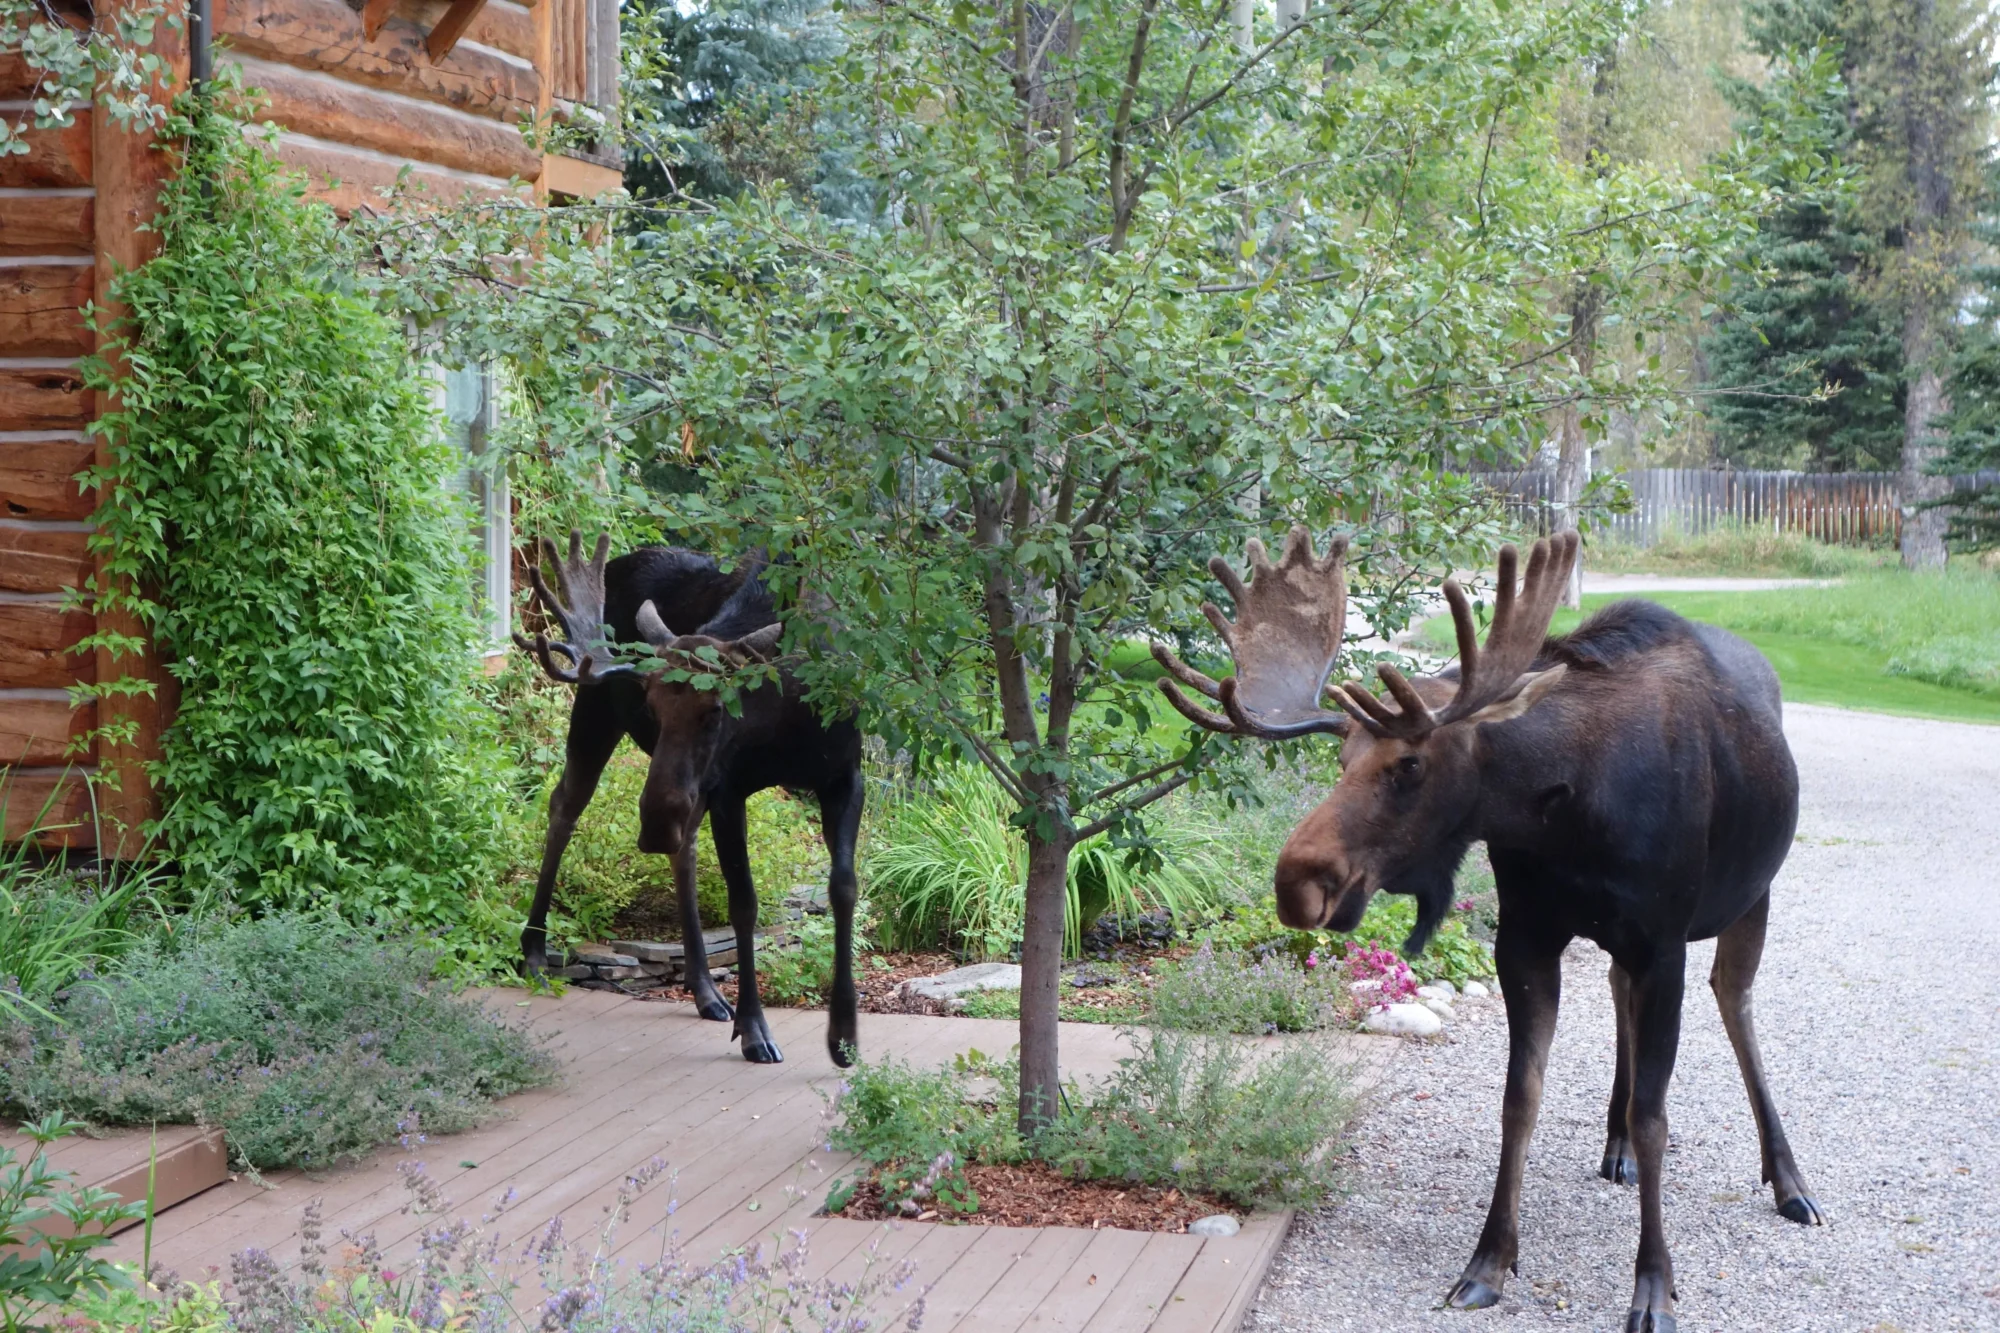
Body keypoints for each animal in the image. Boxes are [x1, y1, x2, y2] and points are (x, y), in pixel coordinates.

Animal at [514, 531, 864, 1067]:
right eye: (651, 706)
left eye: (716, 709)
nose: (656, 826)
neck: (784, 712)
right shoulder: (729, 788)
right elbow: (744, 904)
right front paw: (755, 1029)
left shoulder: (845, 777)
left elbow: (844, 887)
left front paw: (843, 1035)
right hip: (596, 714)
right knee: (564, 806)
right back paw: (533, 952)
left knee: (685, 848)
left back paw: (704, 989)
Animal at [1154, 528, 1820, 1333]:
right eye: (1340, 757)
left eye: (1411, 763)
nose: (1297, 881)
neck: (1570, 810)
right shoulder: (1527, 937)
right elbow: (1518, 1098)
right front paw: (1490, 1259)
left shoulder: (1664, 943)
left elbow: (1657, 1114)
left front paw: (1655, 1287)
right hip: (1628, 940)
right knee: (1618, 991)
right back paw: (1616, 1145)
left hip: (1751, 896)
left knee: (1735, 999)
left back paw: (1789, 1179)